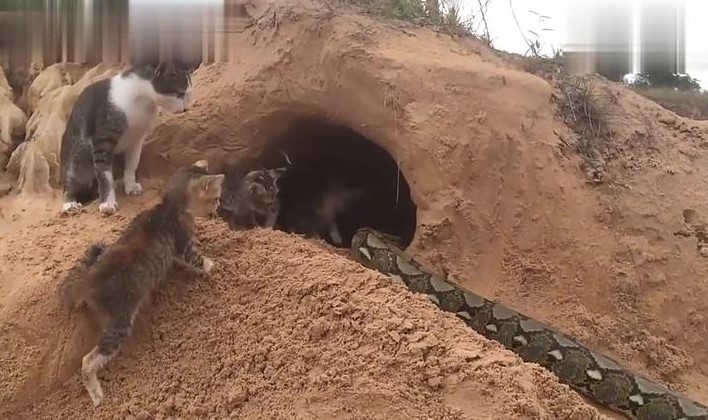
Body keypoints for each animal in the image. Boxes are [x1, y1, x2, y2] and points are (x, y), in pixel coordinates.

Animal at [58, 60, 195, 217]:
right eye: (180, 93)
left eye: (187, 94)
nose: (186, 109)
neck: (141, 102)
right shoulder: (103, 139)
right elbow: (104, 174)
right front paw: (107, 203)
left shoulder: (137, 139)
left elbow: (132, 164)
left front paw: (130, 185)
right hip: (75, 159)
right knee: (70, 183)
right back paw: (70, 204)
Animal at [60, 158, 223, 406]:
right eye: (215, 198)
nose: (219, 206)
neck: (169, 207)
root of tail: (87, 282)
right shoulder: (184, 244)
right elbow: (198, 260)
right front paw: (215, 266)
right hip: (119, 322)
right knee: (88, 361)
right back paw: (96, 393)